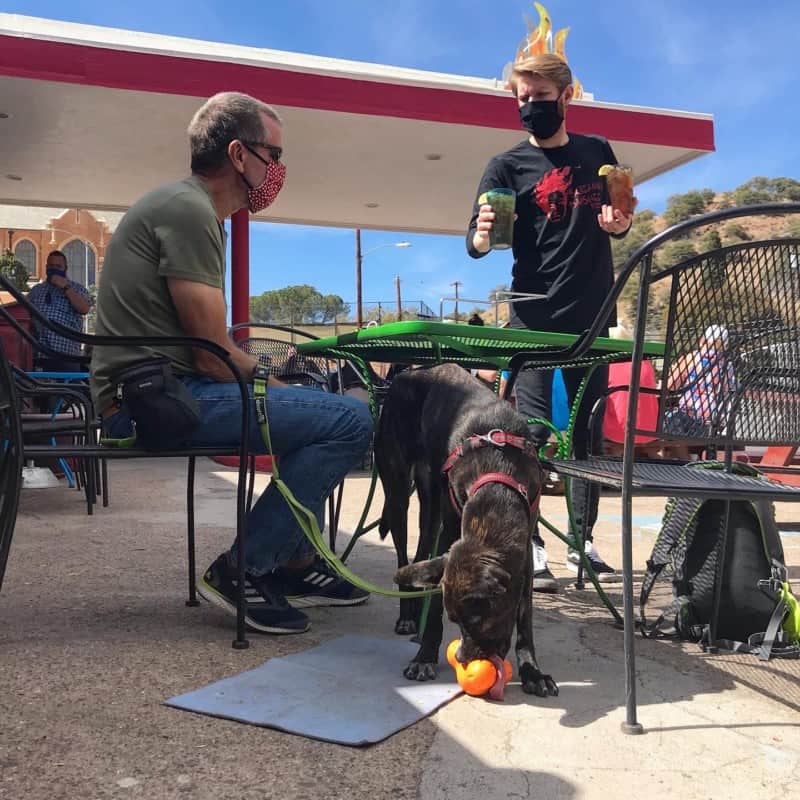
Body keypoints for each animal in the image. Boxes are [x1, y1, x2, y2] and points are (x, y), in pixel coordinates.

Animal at [376, 362, 556, 692]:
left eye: (477, 621)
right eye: (455, 621)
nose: (461, 658)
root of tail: (408, 373)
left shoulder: (524, 550)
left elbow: (525, 618)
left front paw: (533, 672)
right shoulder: (450, 537)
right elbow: (437, 601)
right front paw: (424, 657)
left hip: (430, 500)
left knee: (421, 547)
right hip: (397, 493)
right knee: (402, 553)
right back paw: (407, 617)